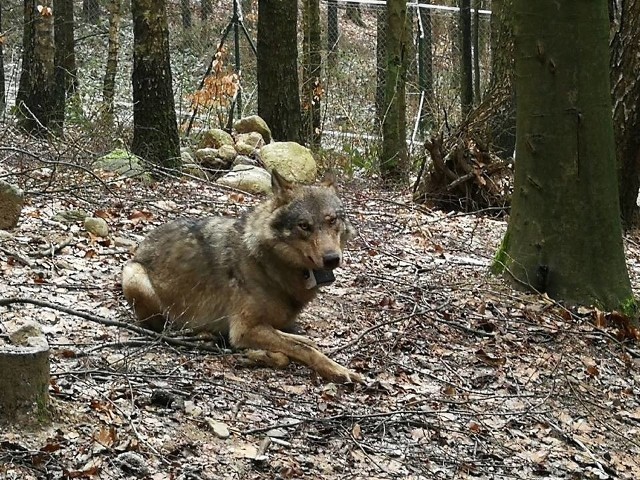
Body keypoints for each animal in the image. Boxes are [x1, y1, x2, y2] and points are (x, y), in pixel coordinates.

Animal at [119, 171, 360, 384]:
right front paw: (337, 370)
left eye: (332, 221)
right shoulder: (244, 330)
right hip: (134, 277)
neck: (270, 262)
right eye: (304, 226)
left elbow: (299, 342)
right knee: (163, 326)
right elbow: (304, 350)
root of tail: (143, 243)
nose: (332, 259)